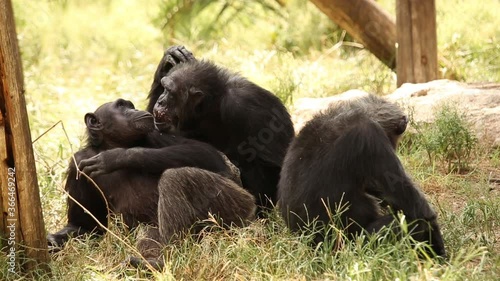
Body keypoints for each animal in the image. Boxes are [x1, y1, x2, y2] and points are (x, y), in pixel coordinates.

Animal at [46, 98, 256, 258]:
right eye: (121, 106)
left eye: (129, 105)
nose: (135, 108)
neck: (110, 143)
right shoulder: (76, 166)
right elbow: (83, 226)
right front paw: (52, 241)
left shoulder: (156, 134)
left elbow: (204, 152)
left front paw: (116, 157)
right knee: (149, 233)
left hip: (238, 208)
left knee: (175, 178)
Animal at [148, 46, 296, 214]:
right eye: (164, 88)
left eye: (170, 92)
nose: (160, 101)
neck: (210, 106)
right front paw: (169, 58)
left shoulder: (252, 106)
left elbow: (272, 165)